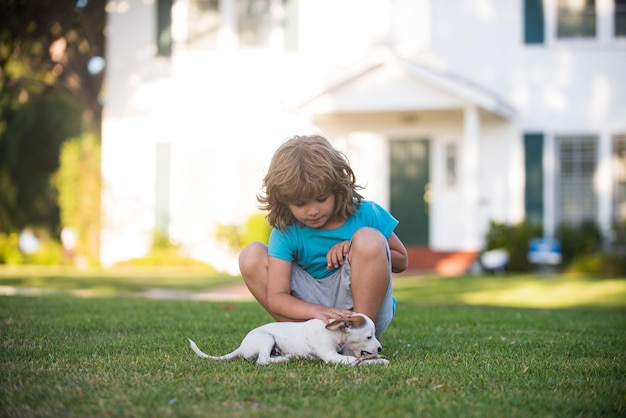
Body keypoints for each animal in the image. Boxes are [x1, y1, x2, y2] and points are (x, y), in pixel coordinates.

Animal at [188, 314, 388, 366]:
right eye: (369, 336)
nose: (380, 349)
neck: (332, 332)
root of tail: (241, 347)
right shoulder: (332, 356)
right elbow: (355, 360)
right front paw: (379, 361)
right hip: (266, 338)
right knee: (262, 361)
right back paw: (286, 358)